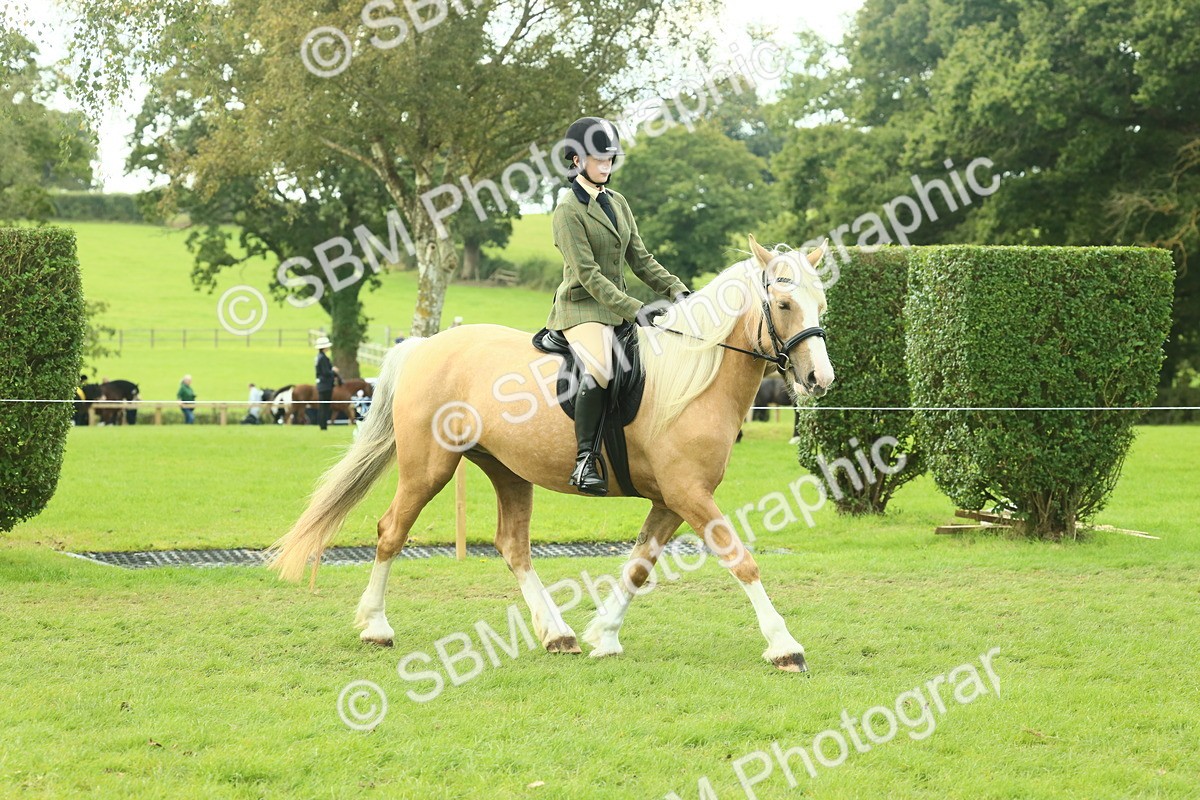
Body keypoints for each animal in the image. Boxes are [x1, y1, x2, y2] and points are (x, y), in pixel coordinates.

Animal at [268, 236, 833, 672]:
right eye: (785, 305)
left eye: (821, 305)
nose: (818, 379)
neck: (694, 376)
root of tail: (425, 346)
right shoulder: (688, 495)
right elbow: (741, 561)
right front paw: (785, 646)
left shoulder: (670, 500)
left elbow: (638, 567)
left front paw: (605, 635)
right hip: (429, 468)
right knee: (392, 532)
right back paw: (376, 626)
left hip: (506, 469)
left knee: (512, 545)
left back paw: (557, 633)